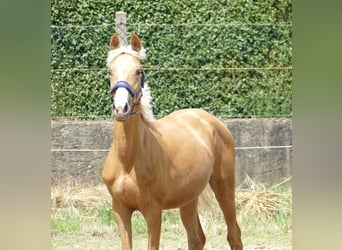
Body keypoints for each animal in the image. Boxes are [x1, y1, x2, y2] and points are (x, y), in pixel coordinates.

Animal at [102, 32, 243, 249]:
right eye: (110, 71)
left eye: (138, 71)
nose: (121, 108)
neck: (127, 162)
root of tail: (213, 121)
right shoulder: (120, 209)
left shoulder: (153, 211)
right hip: (189, 197)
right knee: (196, 238)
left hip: (224, 185)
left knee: (234, 234)